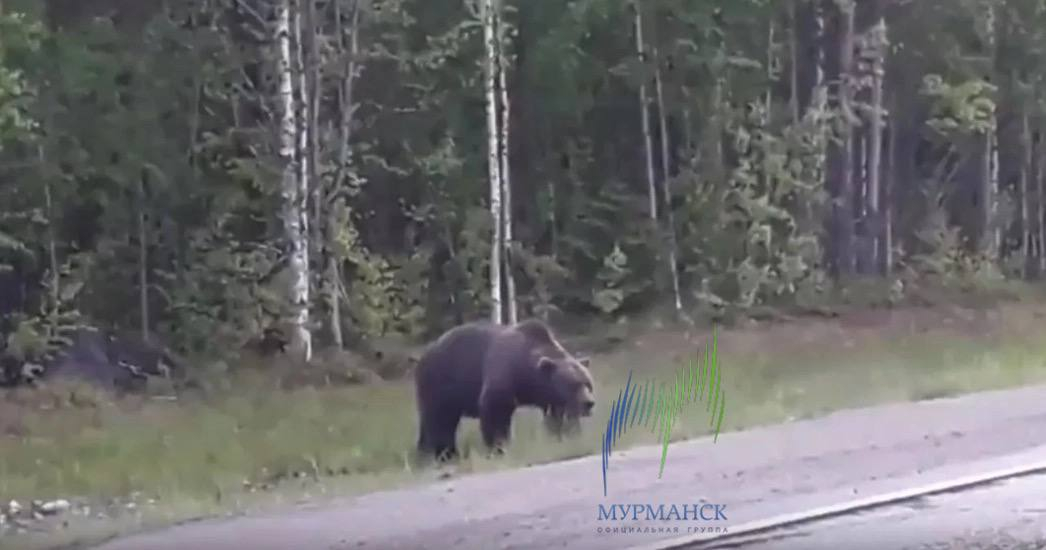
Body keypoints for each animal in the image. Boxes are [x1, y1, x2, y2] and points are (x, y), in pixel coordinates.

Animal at [413, 318, 596, 461]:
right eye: (573, 384)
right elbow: (495, 412)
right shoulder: (502, 373)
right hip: (440, 382)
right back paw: (446, 455)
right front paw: (498, 448)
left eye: (588, 383)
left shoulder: (550, 397)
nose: (588, 403)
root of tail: (423, 355)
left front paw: (563, 437)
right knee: (440, 421)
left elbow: (557, 417)